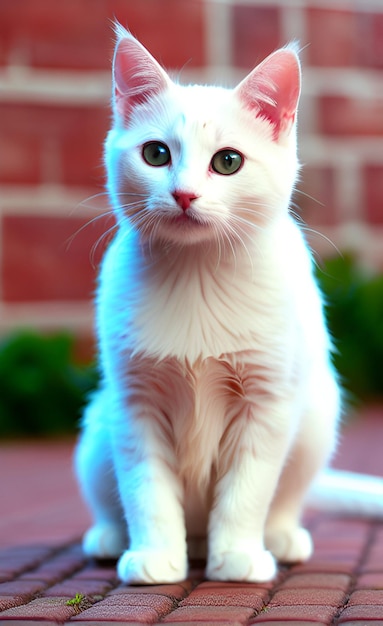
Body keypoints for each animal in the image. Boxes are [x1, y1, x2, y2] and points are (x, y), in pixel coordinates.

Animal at [74, 23, 366, 580]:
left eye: (227, 161)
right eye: (156, 154)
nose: (184, 195)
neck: (198, 274)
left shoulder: (267, 404)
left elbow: (247, 490)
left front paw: (237, 556)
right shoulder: (134, 404)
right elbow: (146, 489)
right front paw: (154, 556)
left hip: (316, 415)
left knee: (285, 497)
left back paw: (277, 538)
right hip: (99, 426)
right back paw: (112, 536)